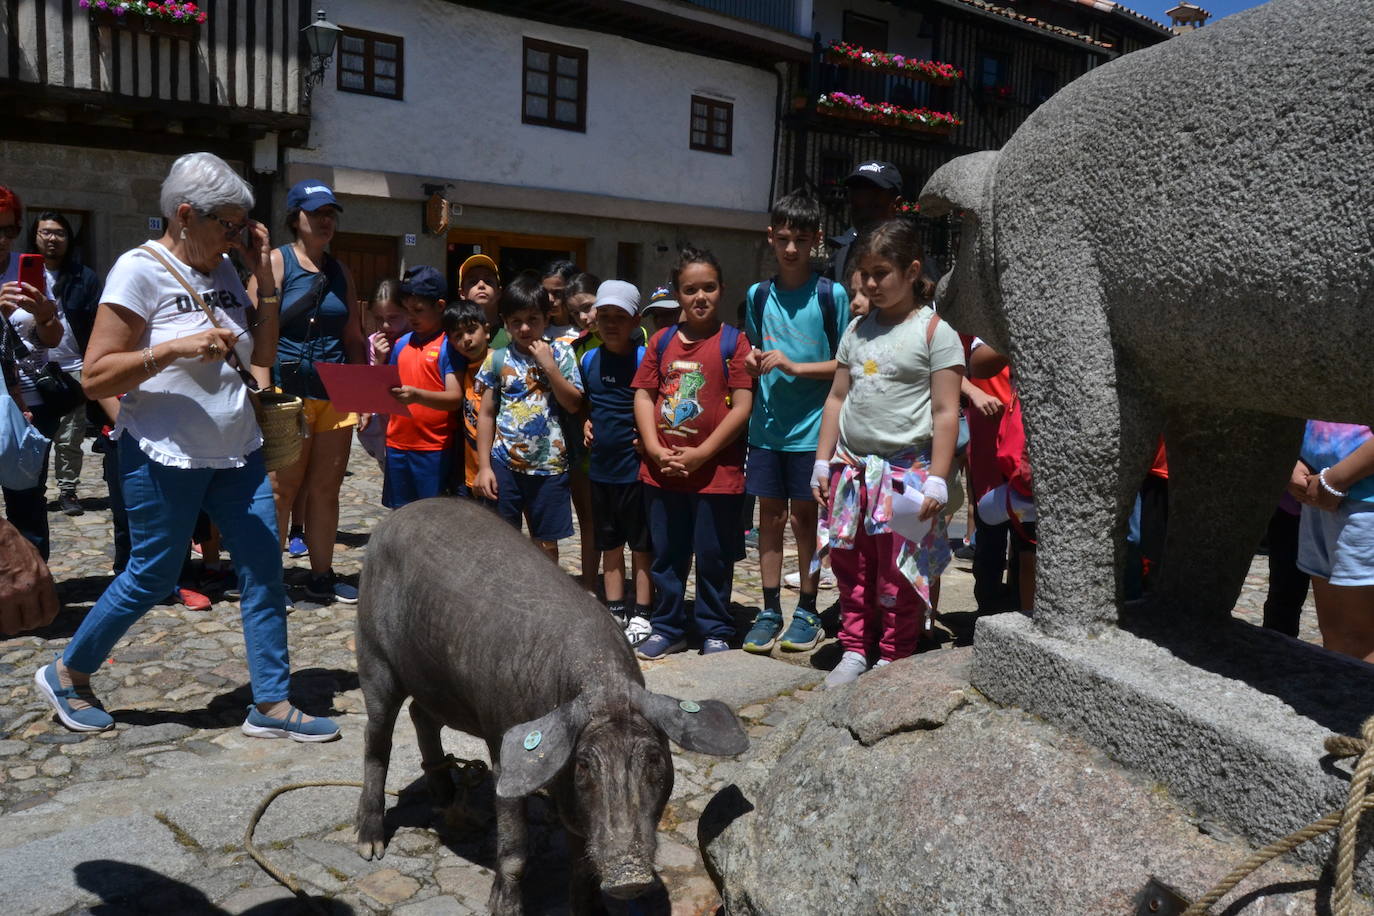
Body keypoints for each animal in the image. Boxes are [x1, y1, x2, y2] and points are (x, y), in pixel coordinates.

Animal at [348, 497, 747, 911]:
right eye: (585, 764)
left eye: (654, 758)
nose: (629, 877)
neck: (604, 685)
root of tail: (394, 516)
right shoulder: (503, 743)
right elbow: (514, 847)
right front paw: (502, 909)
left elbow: (581, 857)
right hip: (372, 651)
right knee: (376, 738)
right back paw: (370, 846)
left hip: (436, 683)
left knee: (420, 714)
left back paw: (446, 801)